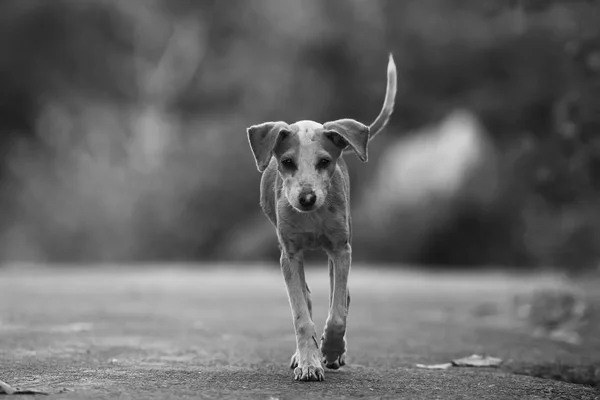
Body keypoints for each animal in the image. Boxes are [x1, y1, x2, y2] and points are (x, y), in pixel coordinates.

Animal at [246, 54, 396, 382]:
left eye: (325, 162)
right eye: (287, 162)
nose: (306, 199)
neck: (312, 217)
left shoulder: (341, 250)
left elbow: (338, 311)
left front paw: (330, 350)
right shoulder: (289, 256)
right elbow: (301, 315)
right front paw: (309, 361)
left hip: (336, 252)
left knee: (341, 298)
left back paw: (331, 350)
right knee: (307, 297)